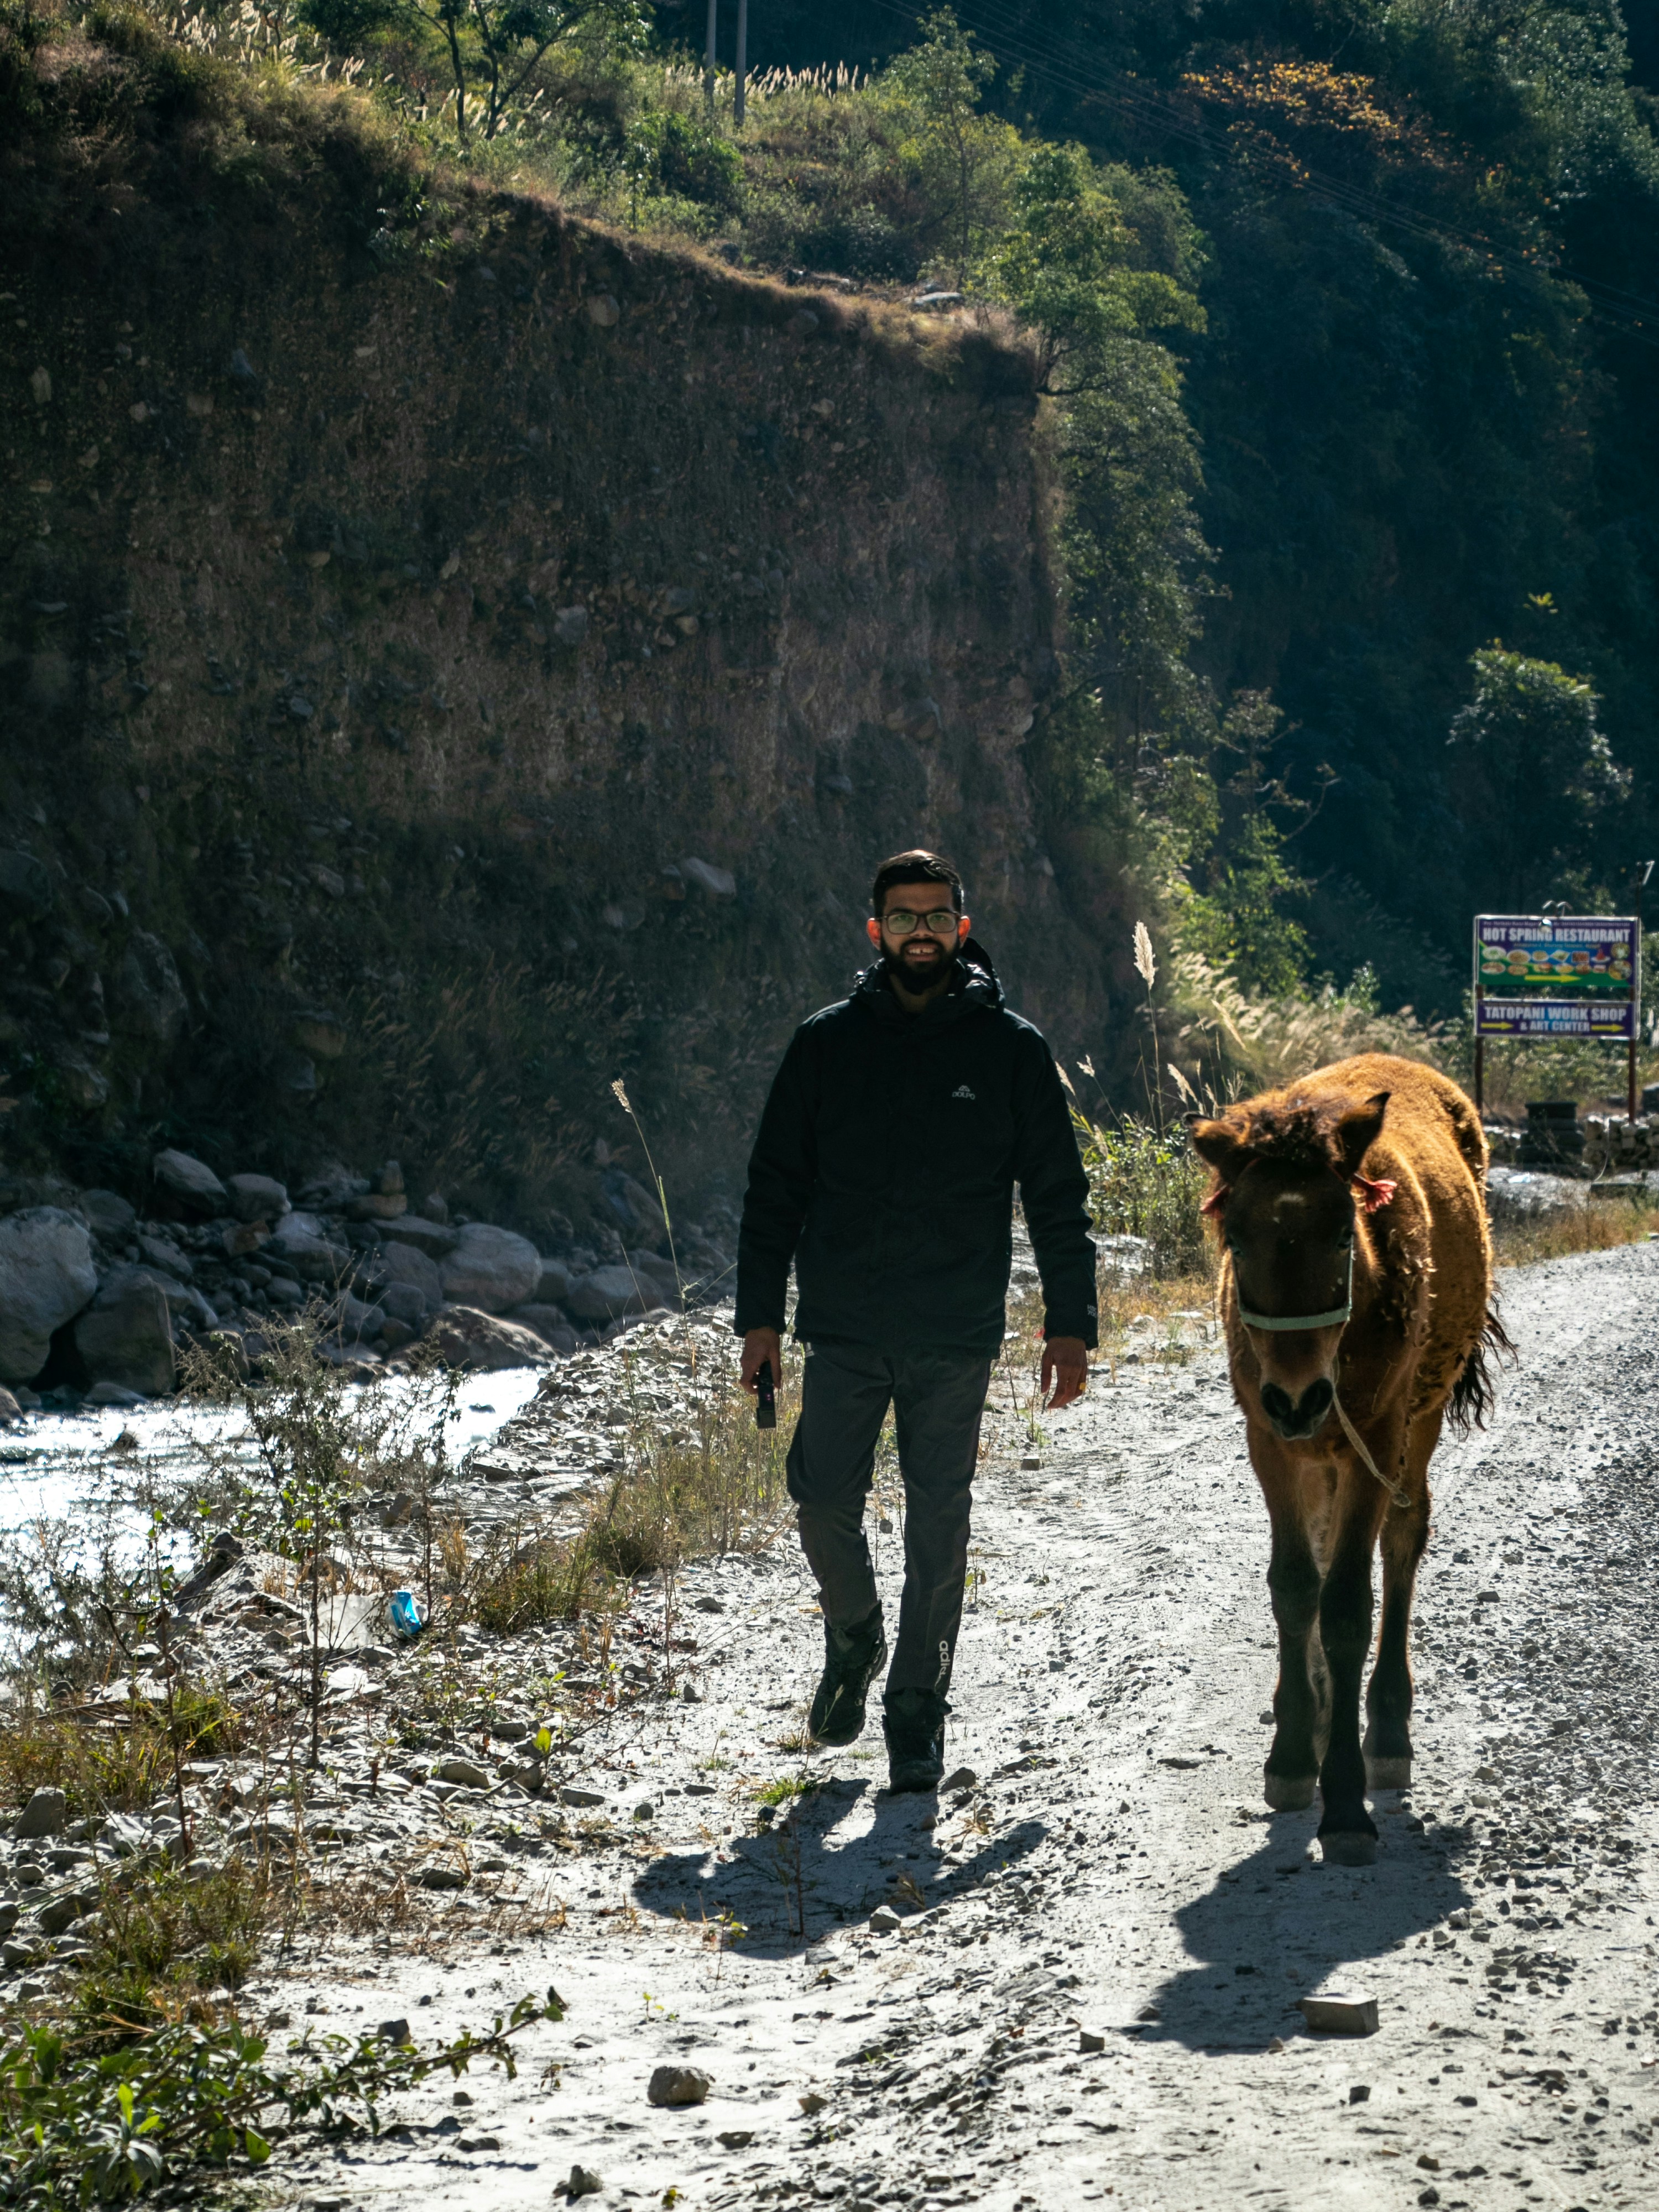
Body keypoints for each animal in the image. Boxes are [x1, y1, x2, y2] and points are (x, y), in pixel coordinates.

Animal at [1188, 1053, 1509, 1865]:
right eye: (1238, 1240)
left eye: (1341, 1235)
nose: (1300, 1397)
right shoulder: (1268, 1440)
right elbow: (1297, 1587)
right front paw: (1295, 1752)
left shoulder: (1375, 1433)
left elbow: (1345, 1607)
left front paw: (1344, 1802)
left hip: (1412, 1421)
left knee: (1400, 1544)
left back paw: (1386, 1730)